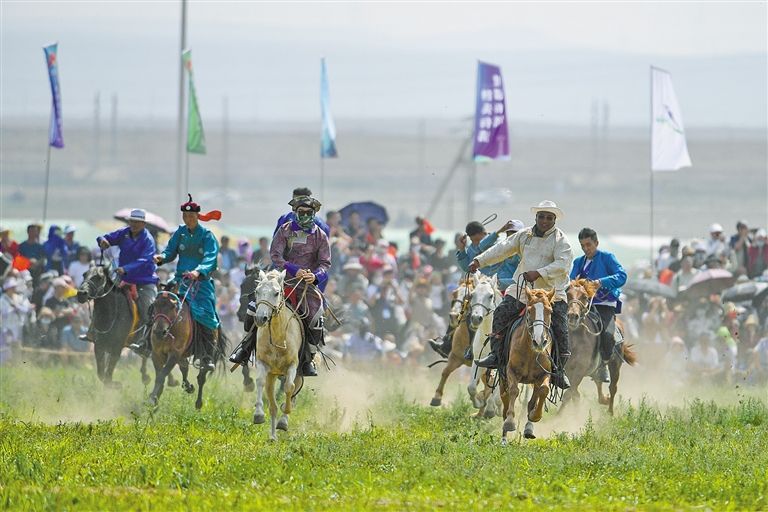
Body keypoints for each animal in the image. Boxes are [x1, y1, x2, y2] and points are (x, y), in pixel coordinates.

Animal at [249, 269, 305, 440]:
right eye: (257, 291)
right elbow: (259, 381)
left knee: (293, 391)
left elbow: (289, 387)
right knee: (272, 406)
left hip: (298, 373)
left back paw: (283, 421)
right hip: (272, 375)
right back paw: (273, 436)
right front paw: (258, 415)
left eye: (276, 293)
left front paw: (285, 411)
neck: (278, 336)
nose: (260, 318)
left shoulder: (293, 365)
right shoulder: (263, 363)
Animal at [429, 277, 474, 407]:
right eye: (454, 293)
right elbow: (445, 371)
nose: (454, 316)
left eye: (469, 296)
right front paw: (436, 397)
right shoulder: (455, 357)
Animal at [499, 287, 558, 444]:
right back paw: (504, 438)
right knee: (505, 401)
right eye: (529, 310)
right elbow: (513, 391)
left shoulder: (544, 374)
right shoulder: (511, 371)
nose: (540, 341)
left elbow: (543, 391)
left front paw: (535, 416)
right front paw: (510, 422)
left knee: (532, 400)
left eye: (550, 311)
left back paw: (529, 428)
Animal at [564, 278, 637, 415]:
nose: (572, 316)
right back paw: (604, 399)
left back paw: (610, 412)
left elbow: (570, 393)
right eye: (568, 294)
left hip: (615, 365)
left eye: (584, 296)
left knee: (613, 387)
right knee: (598, 382)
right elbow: (572, 393)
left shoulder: (579, 370)